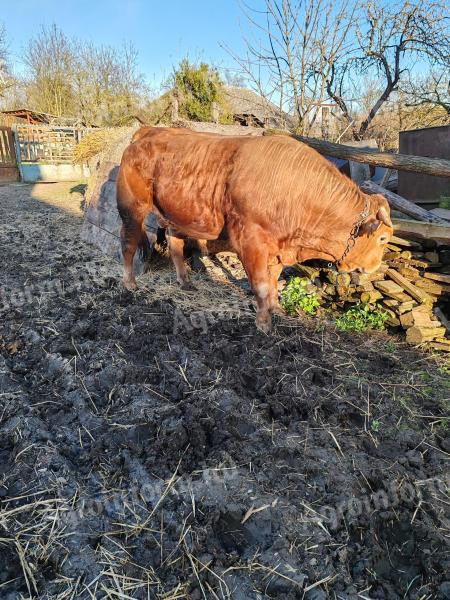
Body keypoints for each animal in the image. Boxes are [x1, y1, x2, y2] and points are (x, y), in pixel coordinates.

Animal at [117, 127, 394, 332]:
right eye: (382, 238)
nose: (374, 267)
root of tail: (148, 132)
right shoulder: (251, 241)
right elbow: (260, 284)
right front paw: (264, 323)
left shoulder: (279, 249)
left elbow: (273, 281)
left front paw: (277, 309)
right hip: (133, 207)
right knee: (128, 242)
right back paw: (130, 284)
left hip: (177, 214)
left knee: (175, 244)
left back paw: (185, 283)